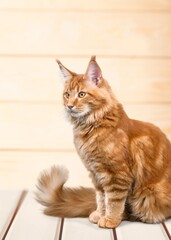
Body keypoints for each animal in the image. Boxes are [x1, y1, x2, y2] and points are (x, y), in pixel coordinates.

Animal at [35, 55, 170, 229]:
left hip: (147, 195)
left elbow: (113, 201)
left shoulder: (117, 174)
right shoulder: (96, 173)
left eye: (81, 94)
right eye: (67, 95)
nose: (69, 105)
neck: (91, 127)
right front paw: (100, 215)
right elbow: (101, 198)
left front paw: (110, 220)